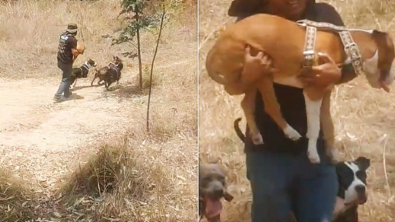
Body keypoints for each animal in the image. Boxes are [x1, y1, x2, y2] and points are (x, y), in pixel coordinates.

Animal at [206, 13, 395, 163]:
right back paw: (290, 132)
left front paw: (332, 154)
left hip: (254, 77)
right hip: (262, 70)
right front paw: (312, 154)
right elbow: (314, 128)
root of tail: (214, 49)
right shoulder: (313, 93)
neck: (346, 45)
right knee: (271, 107)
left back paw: (257, 135)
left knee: (246, 104)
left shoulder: (325, 93)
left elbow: (328, 125)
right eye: (392, 56)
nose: (392, 78)